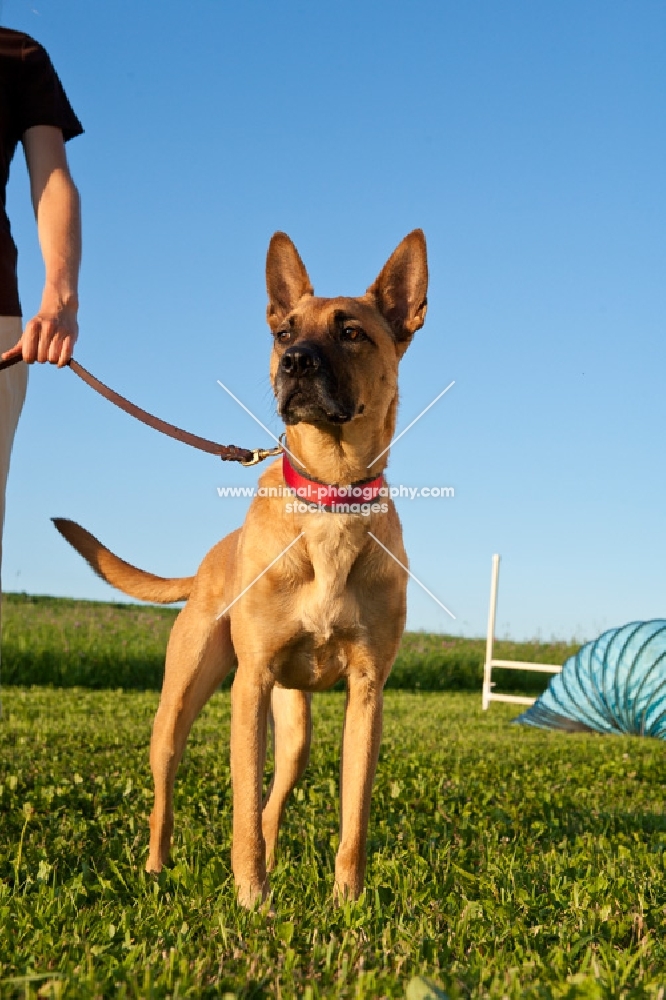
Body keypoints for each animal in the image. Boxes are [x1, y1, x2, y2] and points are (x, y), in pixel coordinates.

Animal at [52, 232, 426, 908]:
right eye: (283, 332)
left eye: (352, 332)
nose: (295, 363)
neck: (329, 500)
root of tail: (208, 562)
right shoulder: (248, 686)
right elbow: (241, 806)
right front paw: (252, 899)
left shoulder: (367, 693)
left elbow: (352, 816)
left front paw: (349, 902)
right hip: (180, 703)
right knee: (167, 795)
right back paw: (157, 869)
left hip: (295, 727)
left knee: (275, 801)